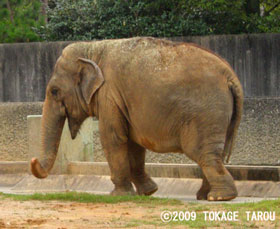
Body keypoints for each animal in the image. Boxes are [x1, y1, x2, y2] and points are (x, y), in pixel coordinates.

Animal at [30, 37, 243, 200]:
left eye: (54, 91)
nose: (33, 160)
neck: (93, 48)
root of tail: (231, 76)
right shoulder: (121, 101)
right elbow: (133, 143)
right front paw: (148, 192)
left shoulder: (109, 95)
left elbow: (112, 139)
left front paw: (118, 195)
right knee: (214, 153)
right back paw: (205, 196)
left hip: (206, 114)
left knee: (203, 152)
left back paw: (220, 197)